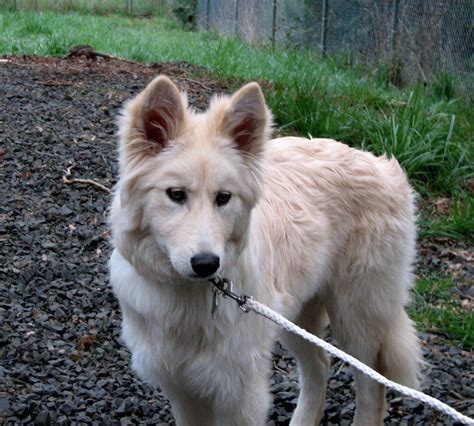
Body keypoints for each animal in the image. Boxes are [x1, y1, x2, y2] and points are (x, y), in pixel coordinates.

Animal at [109, 76, 420, 426]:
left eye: (224, 198)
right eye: (175, 194)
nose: (206, 264)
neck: (187, 298)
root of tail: (382, 164)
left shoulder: (240, 395)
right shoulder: (182, 389)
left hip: (356, 319)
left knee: (372, 386)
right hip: (297, 317)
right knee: (320, 365)